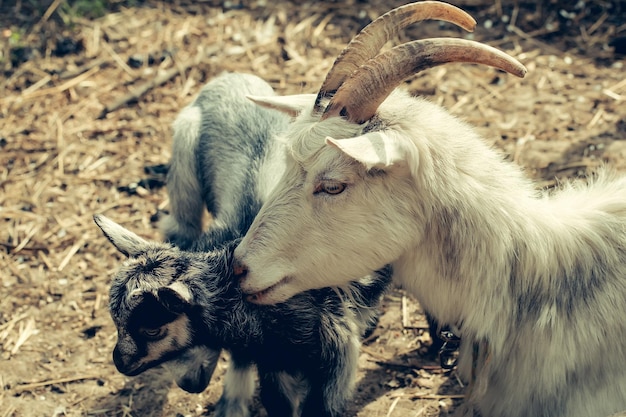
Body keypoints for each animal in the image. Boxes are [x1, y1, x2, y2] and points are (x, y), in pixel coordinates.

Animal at [95, 214, 388, 416]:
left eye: (153, 330)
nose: (120, 363)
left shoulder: (335, 359)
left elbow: (320, 408)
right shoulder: (273, 363)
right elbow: (277, 403)